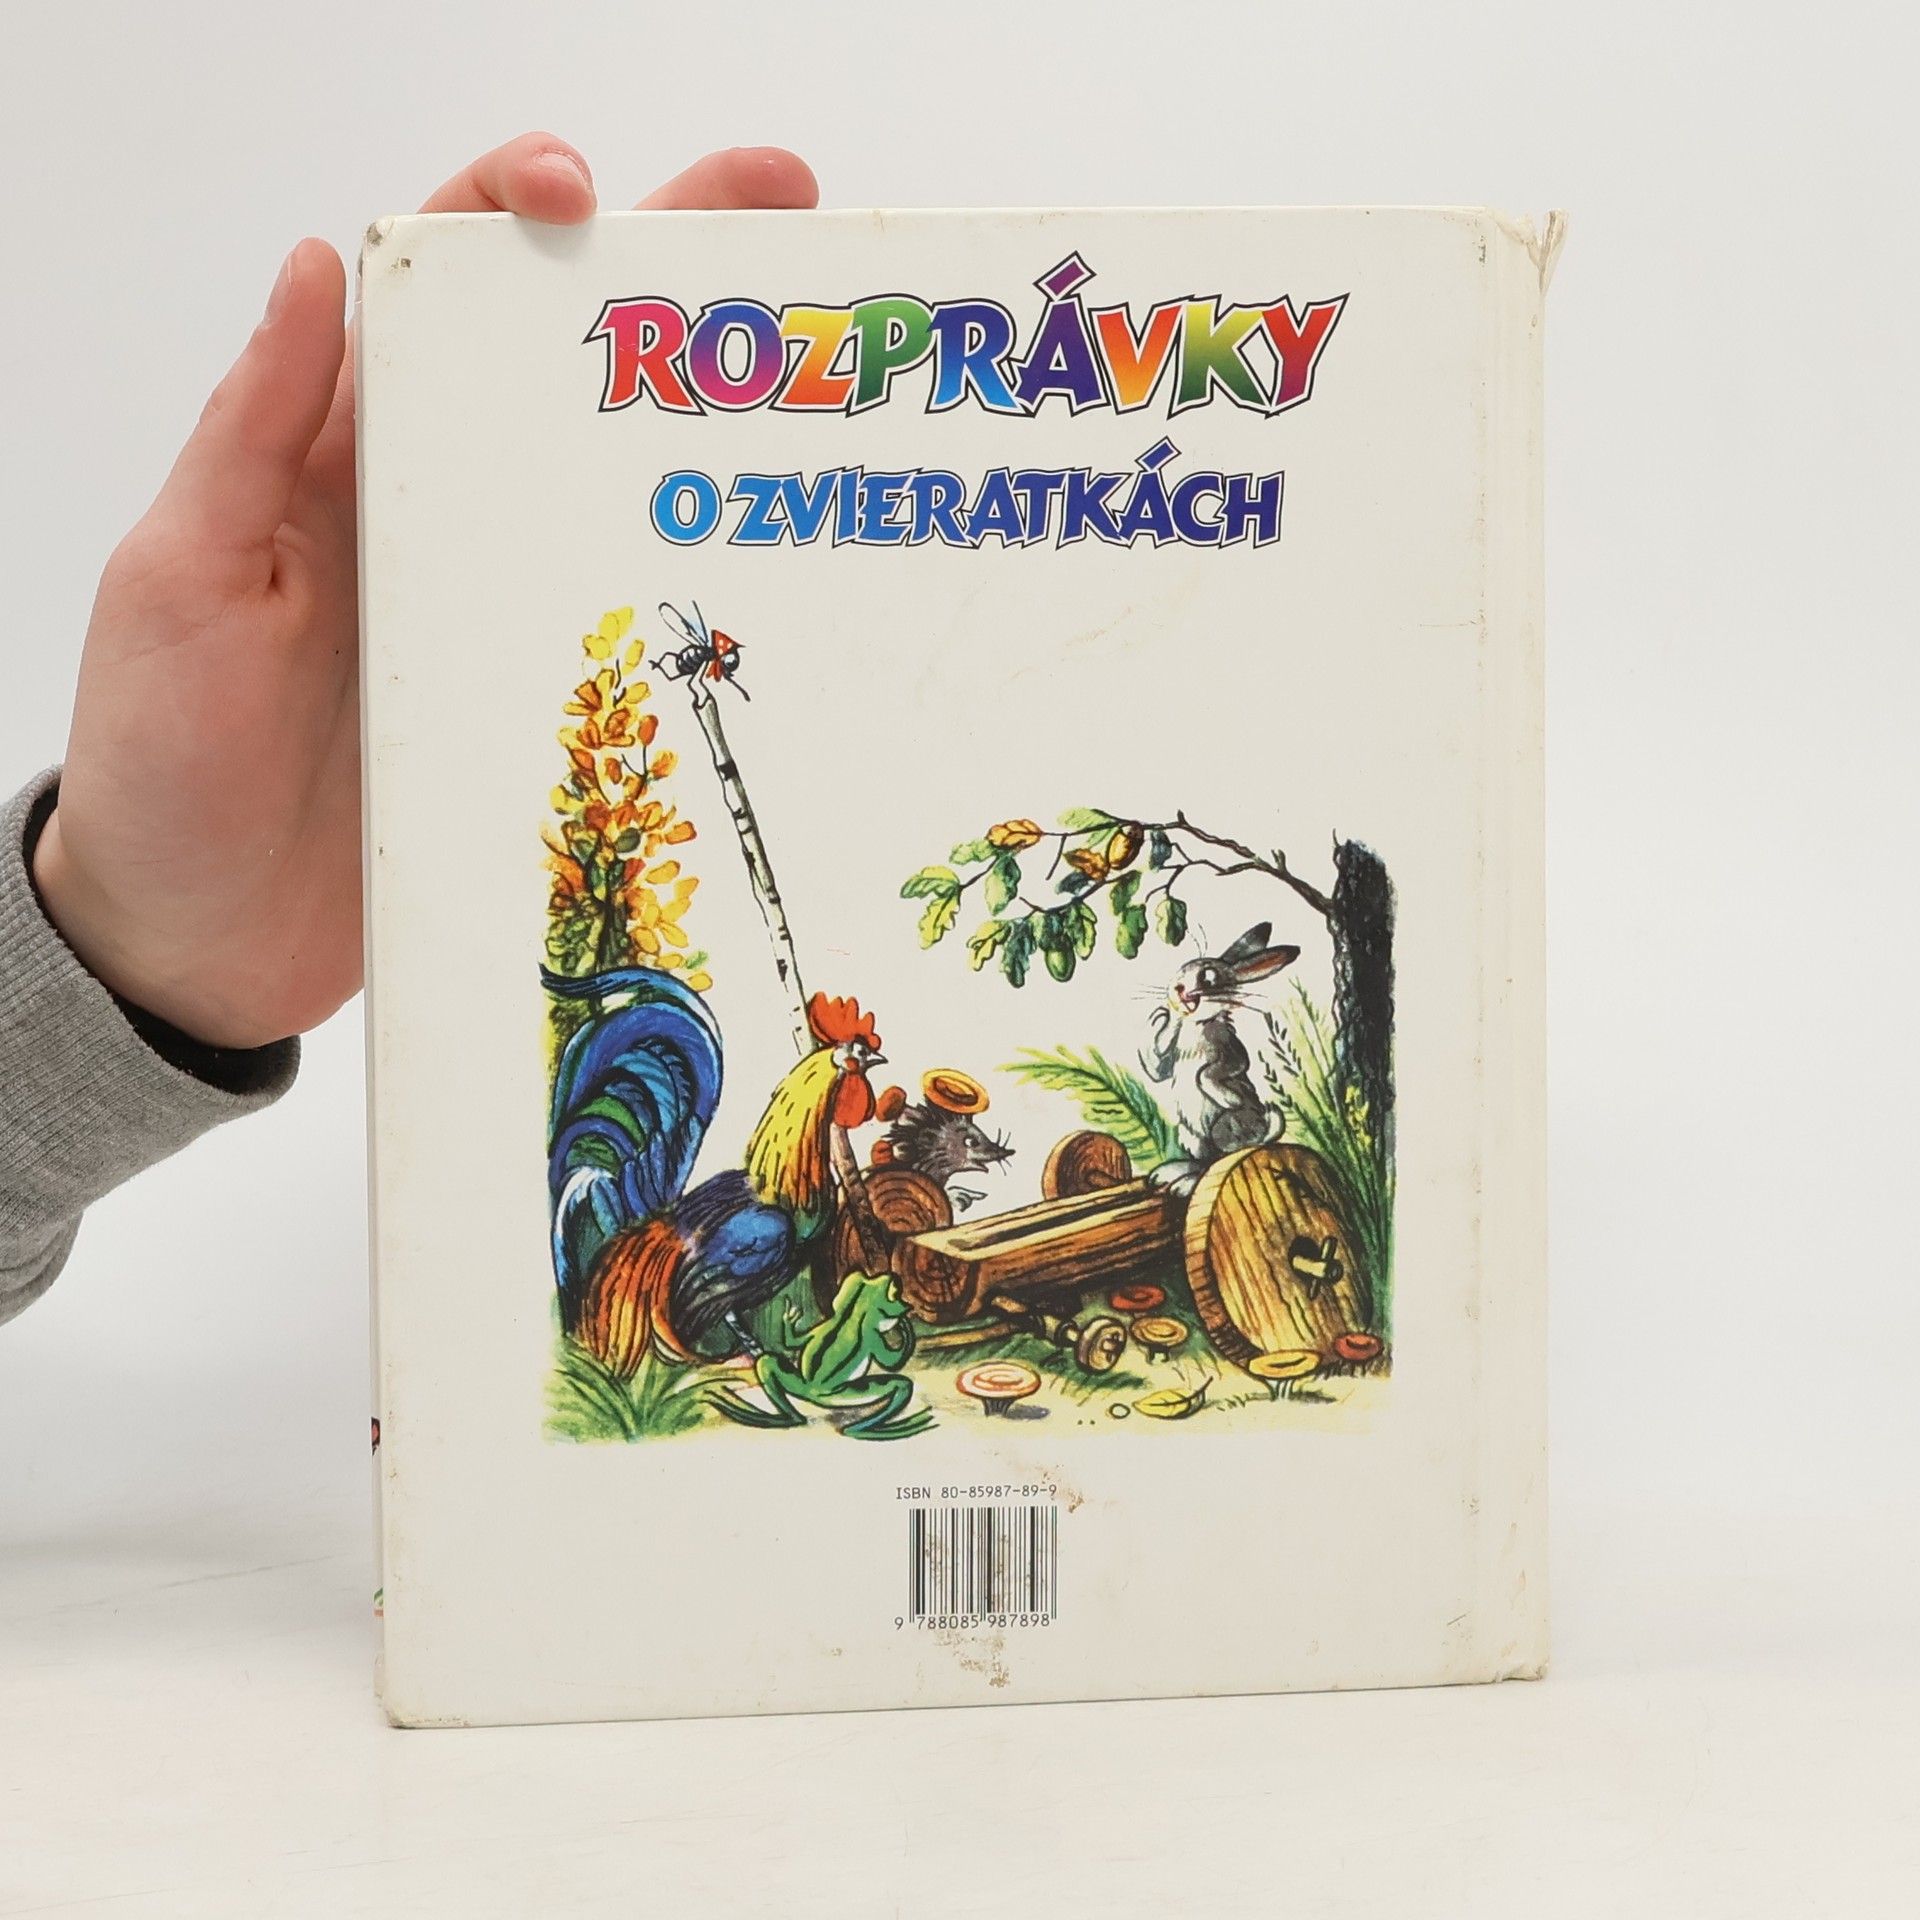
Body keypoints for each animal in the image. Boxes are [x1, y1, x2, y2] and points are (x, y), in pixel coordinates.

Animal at [1141, 922, 1300, 1194]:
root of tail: (1264, 1133)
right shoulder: (1168, 1060)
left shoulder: (1230, 1050)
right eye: (1181, 971)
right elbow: (1158, 1069)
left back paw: (1184, 1184)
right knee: (1206, 1160)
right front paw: (1162, 1016)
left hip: (1222, 1127)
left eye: (1208, 977)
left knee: (1223, 1156)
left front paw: (1229, 1097)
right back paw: (1174, 1174)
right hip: (1191, 1135)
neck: (1197, 1024)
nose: (1177, 988)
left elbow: (1212, 1071)